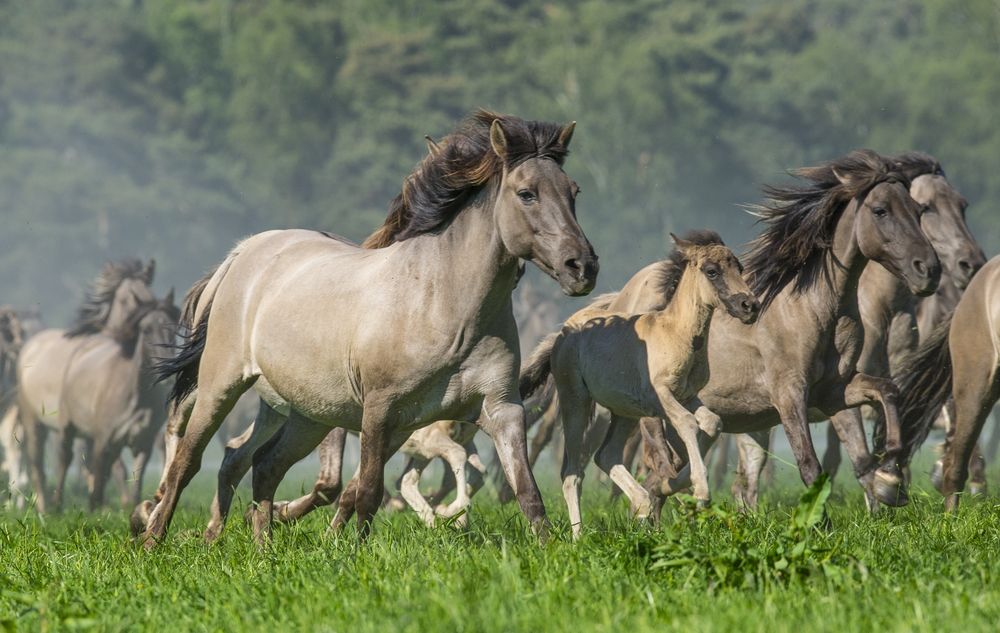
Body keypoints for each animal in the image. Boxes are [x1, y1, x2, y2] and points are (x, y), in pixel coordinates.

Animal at [14, 256, 156, 508]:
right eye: (126, 298)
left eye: (148, 291)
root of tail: (30, 345)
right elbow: (112, 464)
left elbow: (97, 464)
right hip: (34, 421)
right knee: (37, 464)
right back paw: (44, 506)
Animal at [136, 108, 596, 544]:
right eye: (526, 193)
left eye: (573, 192)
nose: (582, 267)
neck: (444, 309)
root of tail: (245, 251)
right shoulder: (380, 412)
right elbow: (368, 493)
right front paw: (352, 552)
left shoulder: (500, 409)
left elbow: (527, 492)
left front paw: (546, 551)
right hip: (222, 385)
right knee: (188, 461)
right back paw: (154, 540)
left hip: (309, 413)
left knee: (262, 464)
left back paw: (261, 548)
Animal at [520, 230, 752, 536]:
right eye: (711, 271)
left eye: (739, 268)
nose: (749, 306)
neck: (675, 333)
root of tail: (562, 332)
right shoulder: (660, 397)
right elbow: (688, 423)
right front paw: (701, 491)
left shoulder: (688, 395)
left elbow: (712, 422)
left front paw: (673, 484)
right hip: (576, 403)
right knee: (571, 472)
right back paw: (578, 536)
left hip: (624, 412)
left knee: (606, 455)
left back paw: (642, 502)